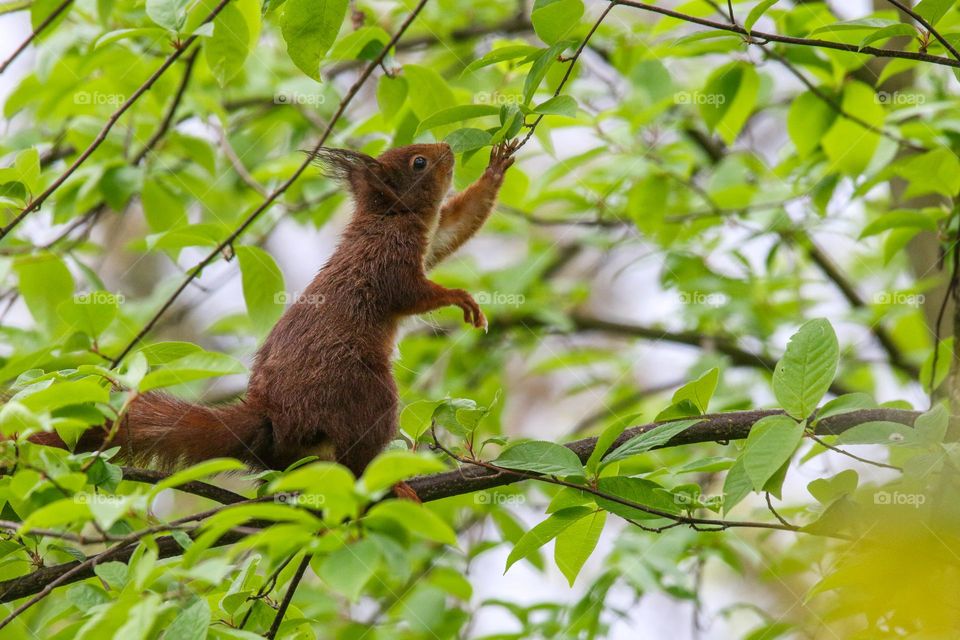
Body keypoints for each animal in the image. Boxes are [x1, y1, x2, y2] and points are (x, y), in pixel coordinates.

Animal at [35, 142, 516, 478]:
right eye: (419, 162)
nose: (448, 148)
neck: (389, 217)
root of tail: (273, 415)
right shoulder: (386, 263)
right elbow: (411, 293)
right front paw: (460, 298)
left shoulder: (430, 239)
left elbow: (454, 226)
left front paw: (496, 167)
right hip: (361, 388)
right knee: (356, 453)